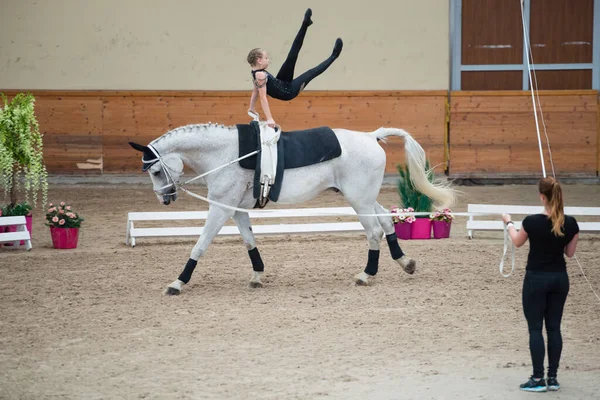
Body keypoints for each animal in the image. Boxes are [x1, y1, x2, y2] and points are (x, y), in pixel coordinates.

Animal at [129, 123, 452, 296]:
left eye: (155, 170)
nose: (165, 199)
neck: (225, 155)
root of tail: (371, 136)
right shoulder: (235, 209)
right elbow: (249, 241)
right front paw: (257, 276)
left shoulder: (220, 209)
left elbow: (201, 244)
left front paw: (177, 283)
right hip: (365, 198)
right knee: (386, 221)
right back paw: (405, 262)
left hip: (359, 200)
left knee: (374, 232)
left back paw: (365, 275)